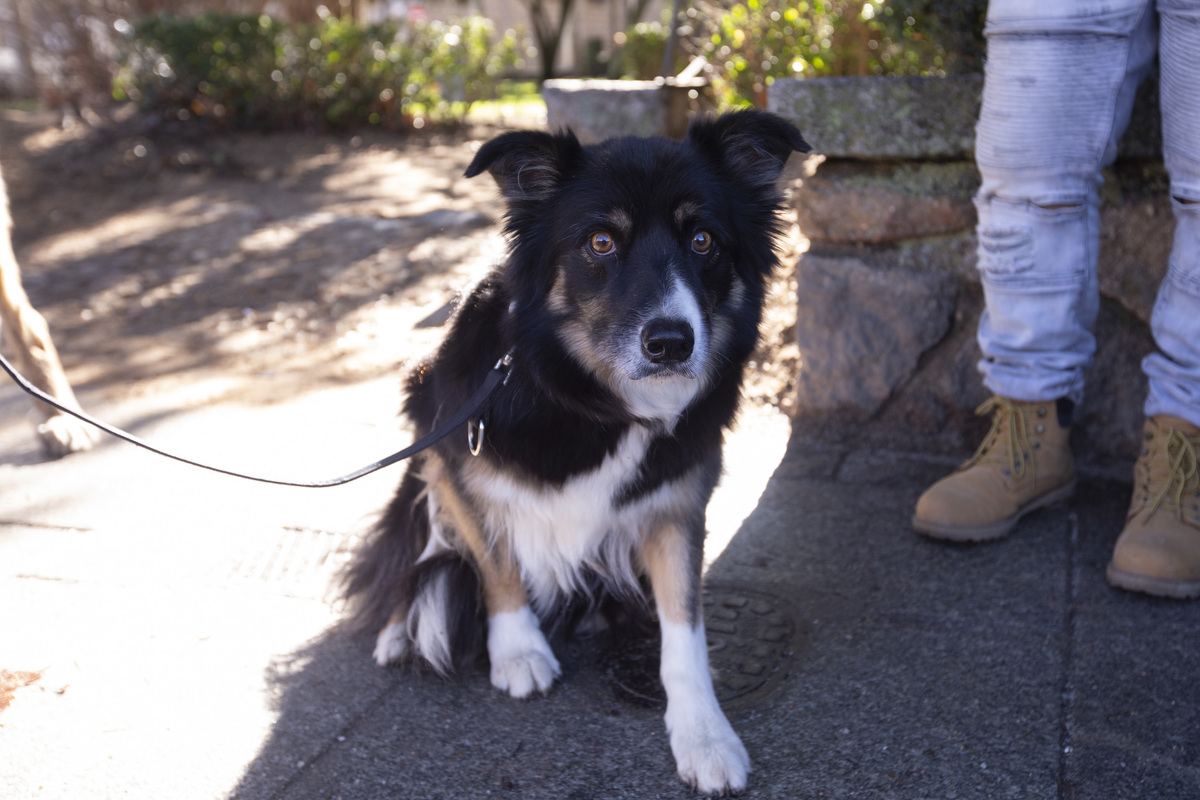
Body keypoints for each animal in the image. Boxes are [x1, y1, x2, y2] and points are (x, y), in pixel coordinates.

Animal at [343, 110, 811, 796]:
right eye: (600, 242)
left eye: (703, 240)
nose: (671, 343)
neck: (593, 401)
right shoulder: (456, 453)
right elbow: (495, 563)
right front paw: (518, 650)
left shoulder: (678, 502)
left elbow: (686, 628)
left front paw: (704, 734)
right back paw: (402, 628)